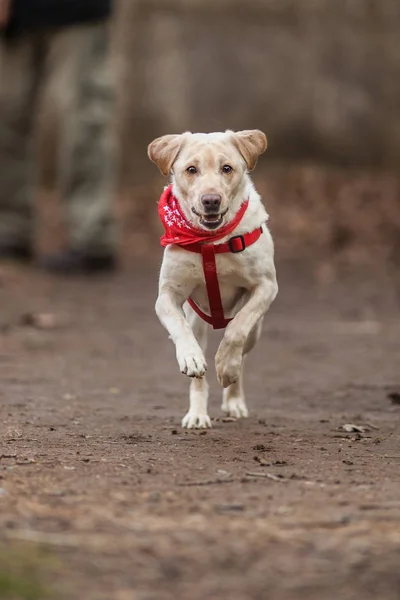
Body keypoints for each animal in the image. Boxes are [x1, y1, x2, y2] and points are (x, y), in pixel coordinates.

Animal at [148, 131, 278, 426]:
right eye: (191, 169)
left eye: (227, 168)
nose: (211, 200)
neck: (212, 240)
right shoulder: (168, 295)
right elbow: (179, 328)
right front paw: (191, 357)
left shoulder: (266, 286)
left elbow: (236, 330)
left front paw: (226, 365)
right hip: (196, 318)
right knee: (199, 378)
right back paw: (197, 414)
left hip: (257, 330)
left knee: (243, 350)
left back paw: (234, 398)